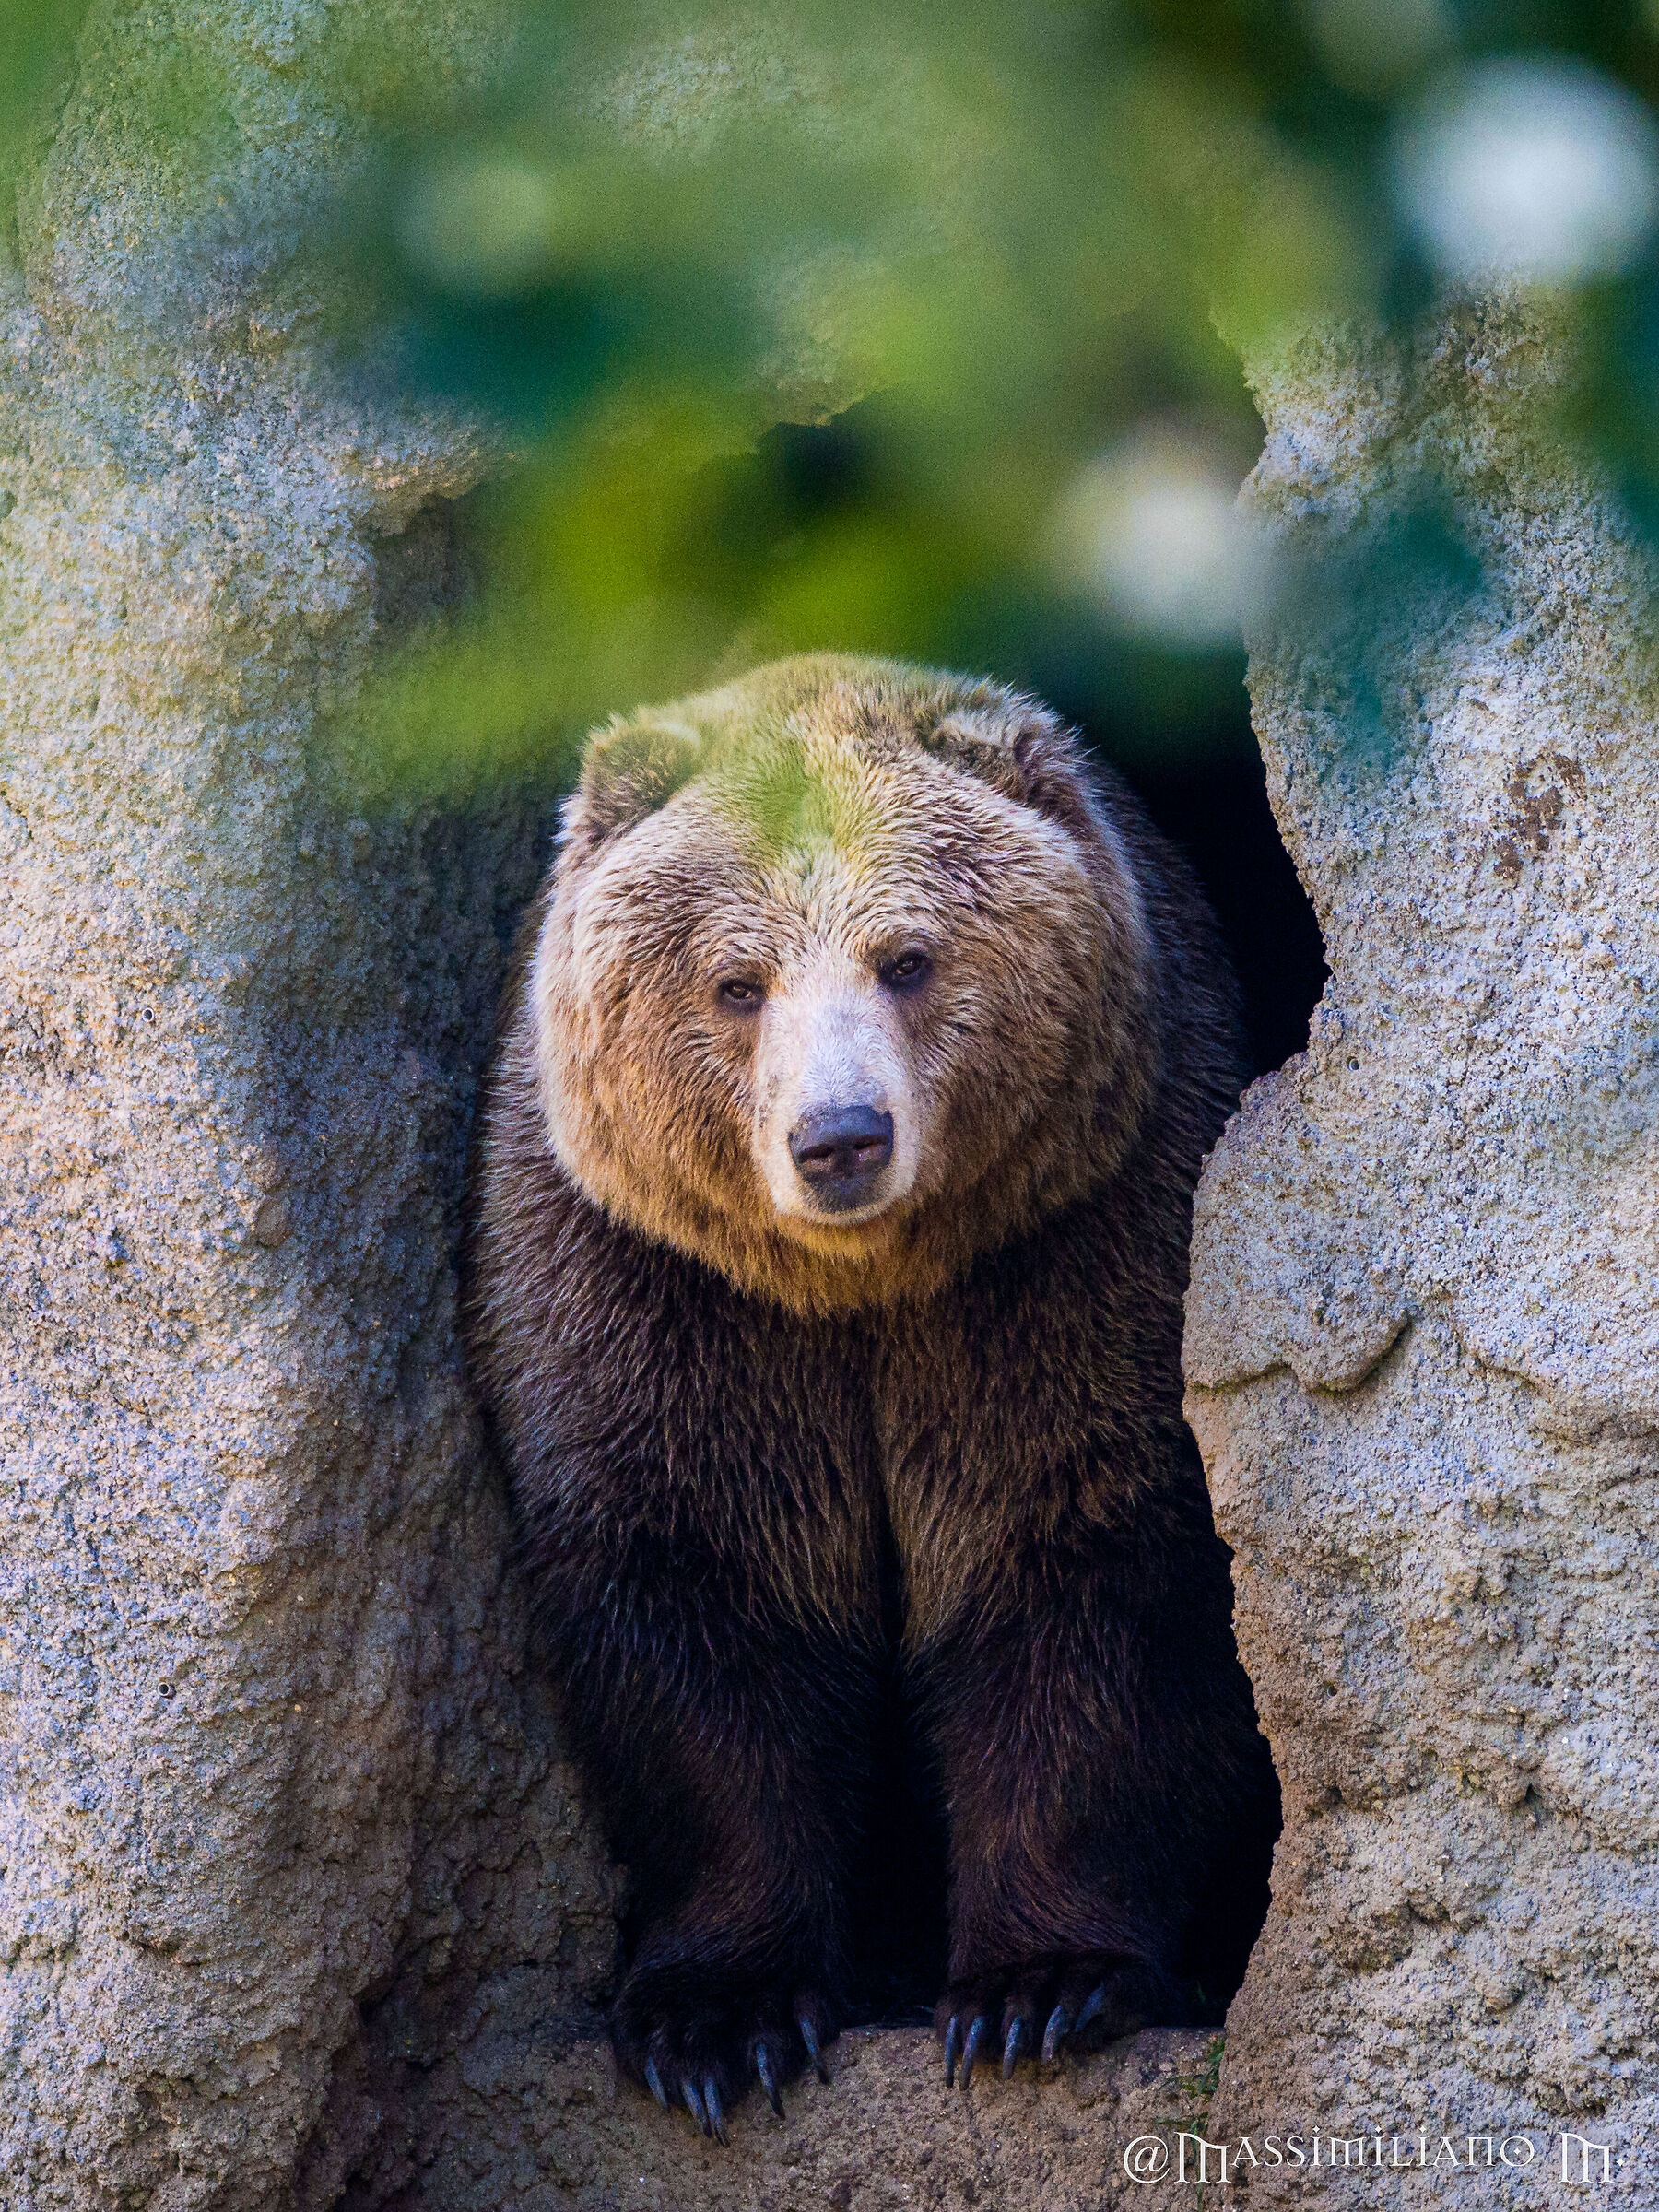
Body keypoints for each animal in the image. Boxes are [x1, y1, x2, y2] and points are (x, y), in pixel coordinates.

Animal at [468, 653, 1278, 2141]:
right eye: (736, 981)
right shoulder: (656, 1291)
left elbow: (1082, 1572)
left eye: (908, 958)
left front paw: (1038, 1989)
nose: (839, 1136)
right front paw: (716, 2022)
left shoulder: (1077, 1244)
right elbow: (700, 1595)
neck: (858, 1287)